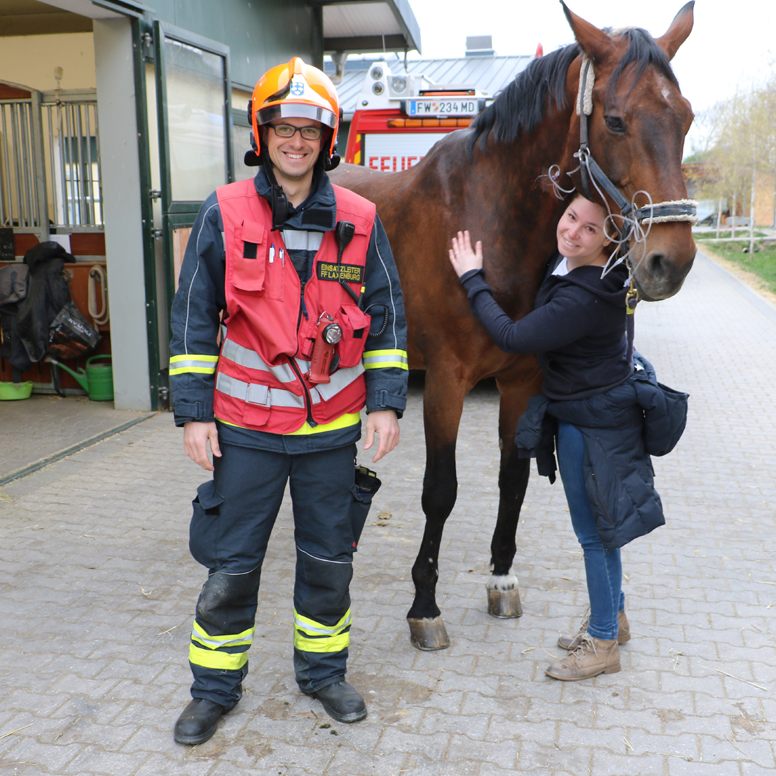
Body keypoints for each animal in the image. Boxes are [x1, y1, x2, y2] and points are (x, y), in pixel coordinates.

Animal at [332, 2, 697, 650]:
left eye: (686, 118)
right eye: (616, 121)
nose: (669, 261)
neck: (485, 217)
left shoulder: (522, 382)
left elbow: (513, 480)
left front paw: (500, 578)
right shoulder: (447, 382)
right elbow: (441, 491)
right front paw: (424, 606)